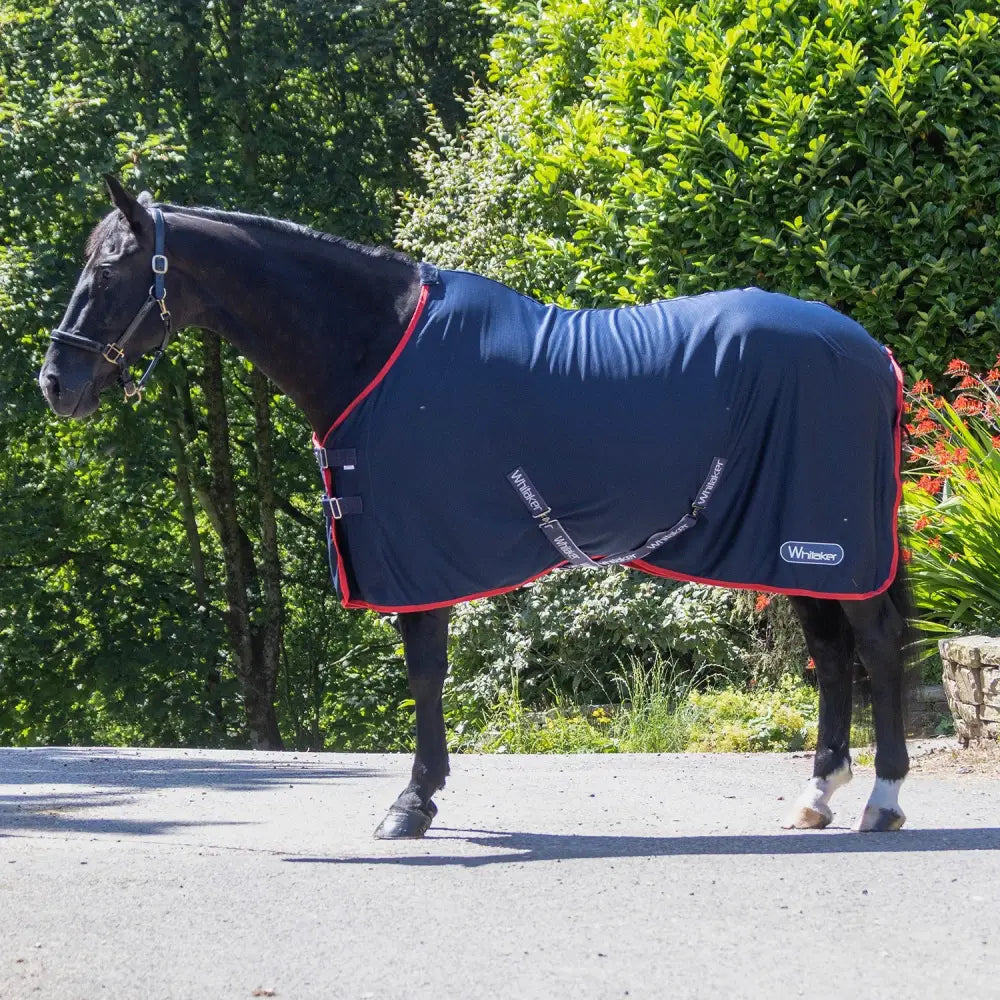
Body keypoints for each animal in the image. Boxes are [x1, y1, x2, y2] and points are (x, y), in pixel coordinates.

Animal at [39, 177, 912, 838]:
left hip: (830, 543)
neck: (376, 347)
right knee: (830, 654)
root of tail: (873, 352)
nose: (56, 383)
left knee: (874, 648)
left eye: (110, 272)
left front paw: (412, 801)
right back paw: (816, 796)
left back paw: (884, 798)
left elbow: (425, 672)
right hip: (793, 543)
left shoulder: (419, 552)